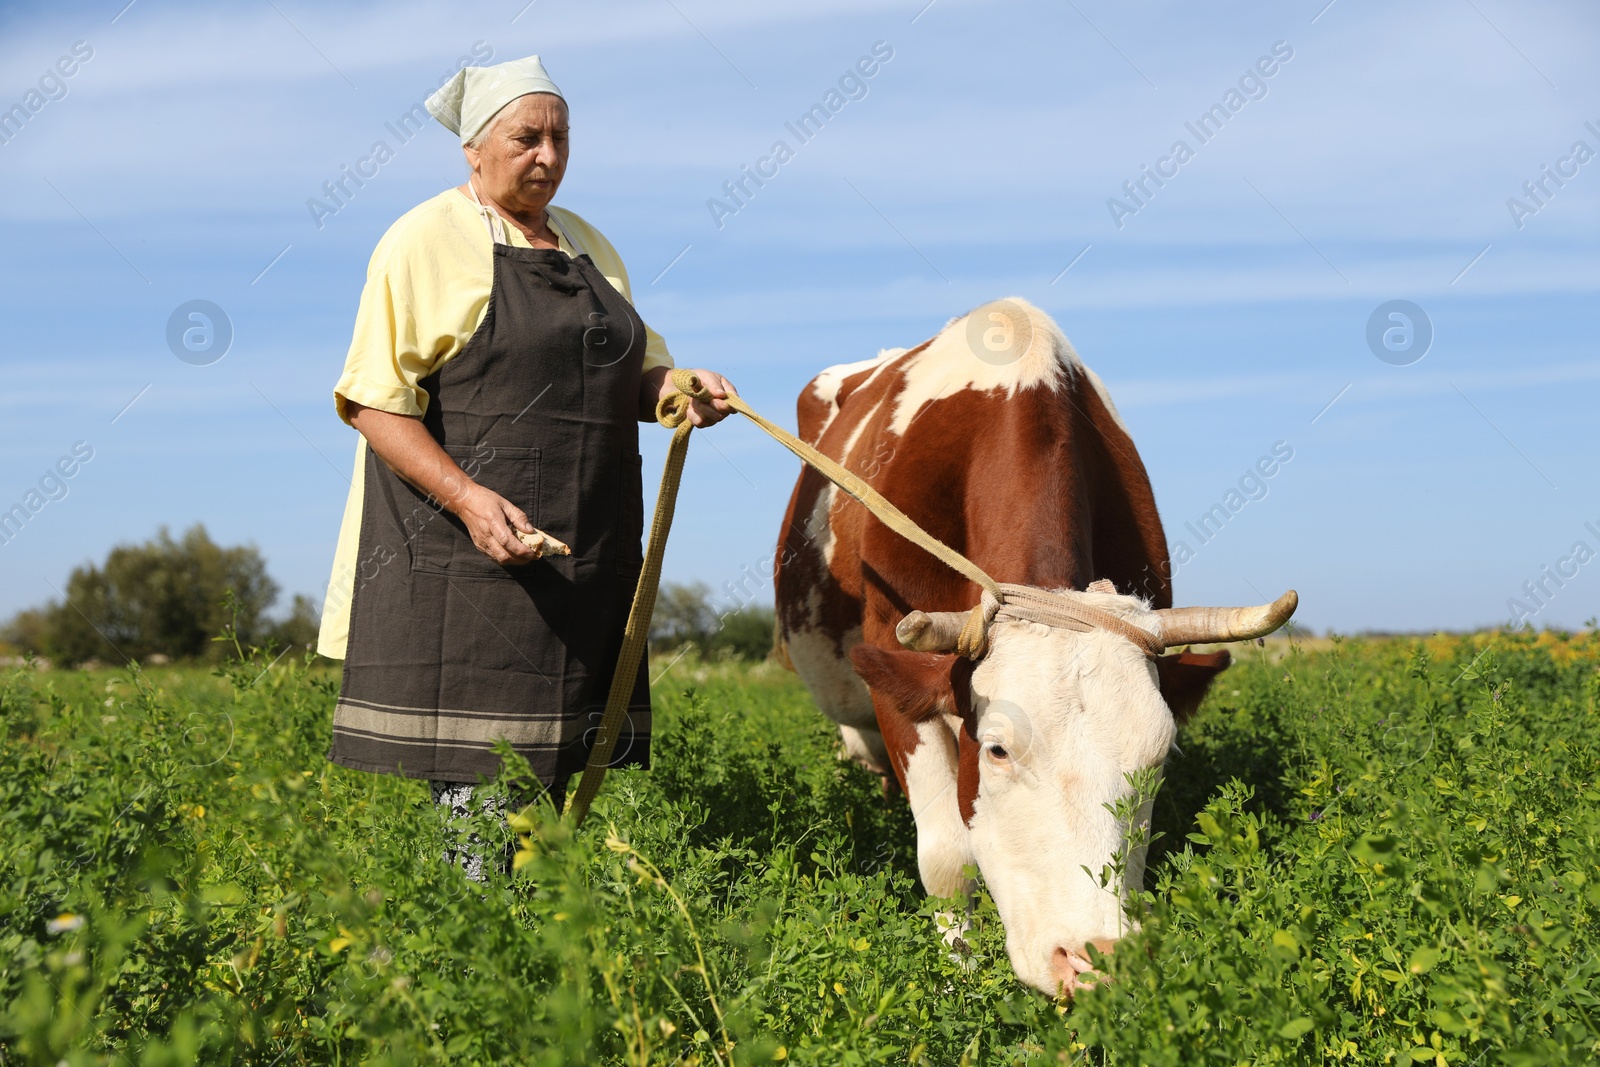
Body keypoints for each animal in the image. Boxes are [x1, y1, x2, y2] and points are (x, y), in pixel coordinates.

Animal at [768, 295, 1292, 998]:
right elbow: (947, 861)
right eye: (996, 749)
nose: (1094, 961)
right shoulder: (900, 674)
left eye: (1159, 759)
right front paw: (959, 982)